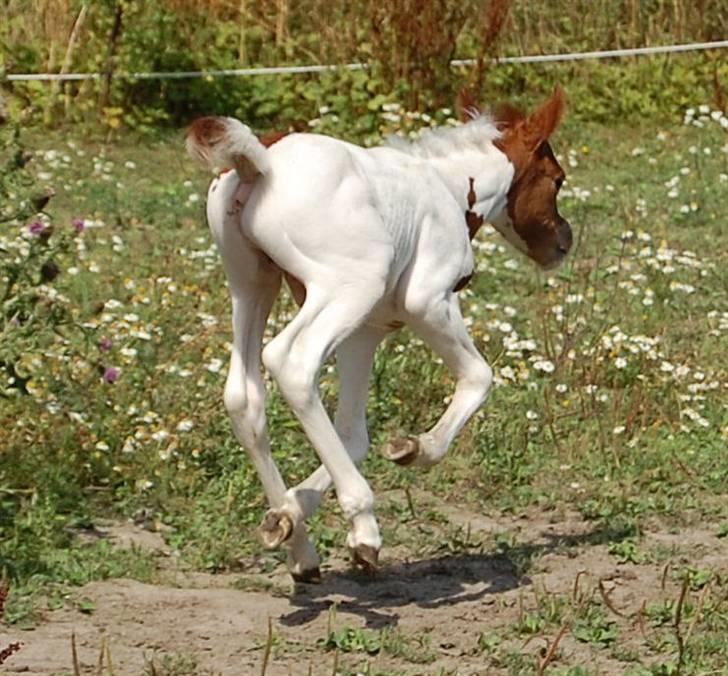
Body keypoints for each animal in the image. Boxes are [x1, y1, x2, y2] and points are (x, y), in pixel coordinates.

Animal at [185, 87, 572, 584]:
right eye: (556, 179)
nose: (563, 242)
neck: (446, 186)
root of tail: (261, 162)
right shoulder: (428, 300)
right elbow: (479, 377)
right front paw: (414, 449)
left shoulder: (364, 333)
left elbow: (353, 435)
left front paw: (288, 514)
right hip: (349, 286)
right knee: (293, 363)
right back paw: (364, 527)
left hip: (251, 284)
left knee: (243, 395)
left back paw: (300, 550)